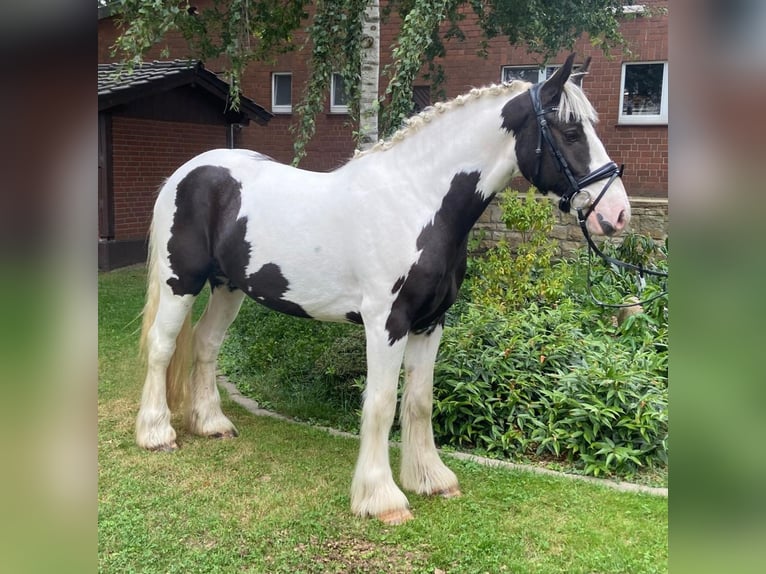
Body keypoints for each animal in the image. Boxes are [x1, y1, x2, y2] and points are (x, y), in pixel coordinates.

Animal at [136, 55, 632, 528]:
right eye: (571, 131)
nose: (617, 213)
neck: (417, 202)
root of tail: (185, 173)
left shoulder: (430, 323)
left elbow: (419, 401)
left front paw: (431, 479)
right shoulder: (386, 324)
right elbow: (379, 404)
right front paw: (381, 499)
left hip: (229, 287)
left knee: (205, 343)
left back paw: (212, 424)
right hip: (180, 282)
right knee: (162, 347)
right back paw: (156, 433)